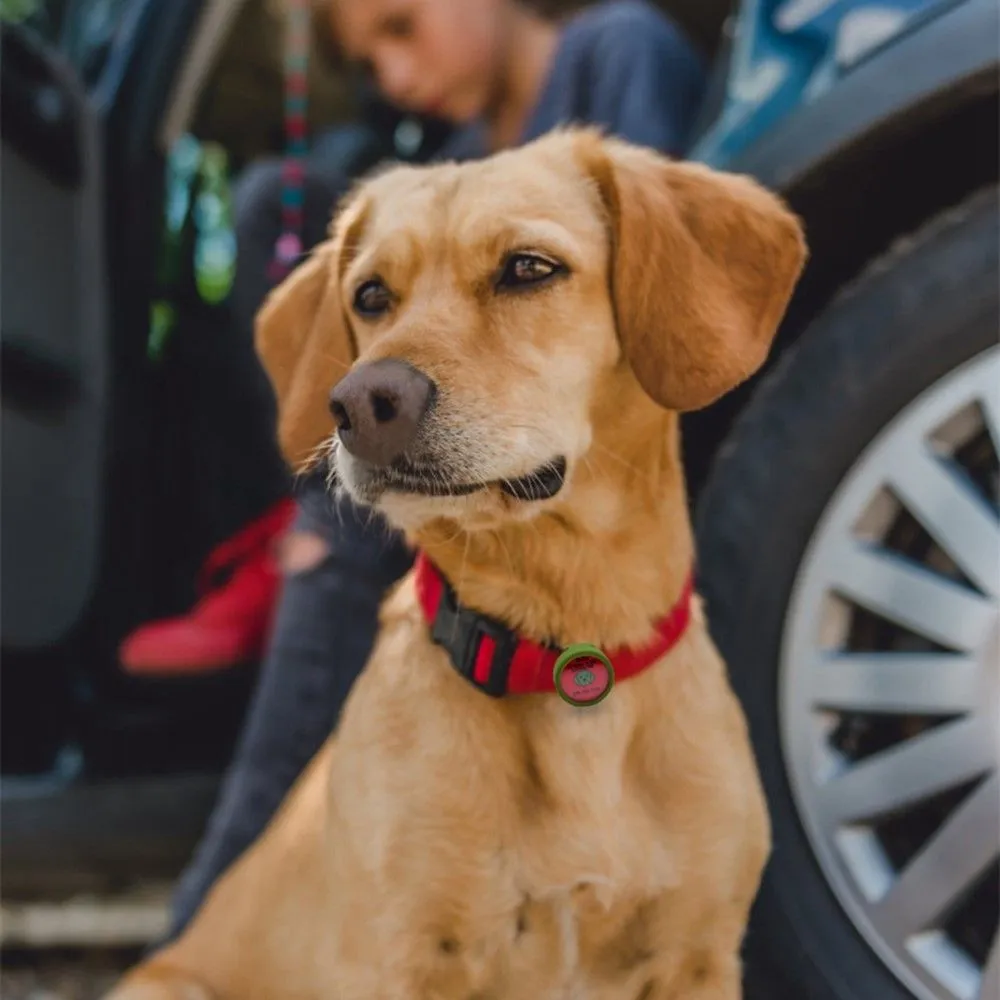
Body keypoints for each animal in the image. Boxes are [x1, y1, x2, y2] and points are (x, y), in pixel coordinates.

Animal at [111, 129, 804, 996]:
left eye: (529, 268)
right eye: (371, 295)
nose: (360, 403)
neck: (567, 650)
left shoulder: (697, 958)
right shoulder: (403, 960)